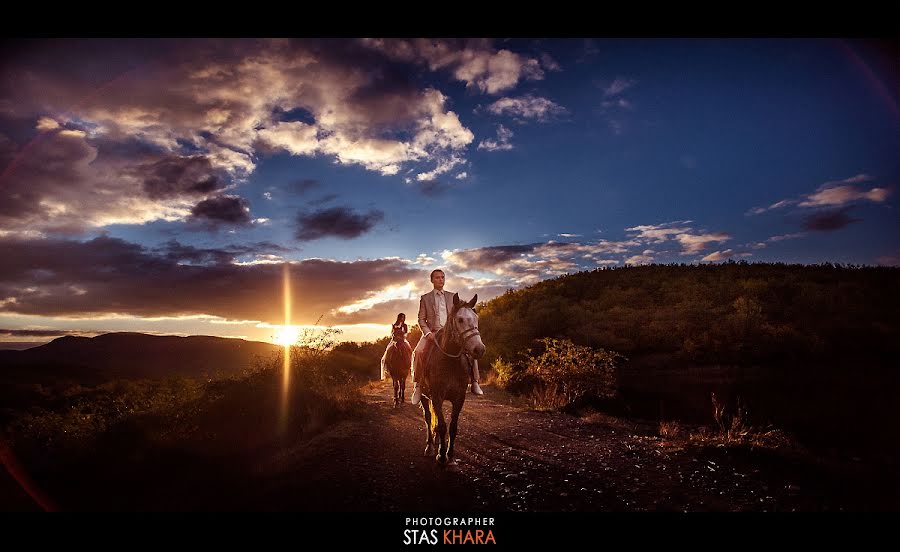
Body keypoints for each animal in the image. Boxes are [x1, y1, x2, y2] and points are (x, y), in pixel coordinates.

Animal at [420, 296, 486, 464]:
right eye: (460, 320)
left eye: (476, 318)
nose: (479, 349)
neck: (449, 362)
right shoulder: (436, 397)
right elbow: (442, 425)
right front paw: (441, 455)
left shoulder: (459, 398)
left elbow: (453, 427)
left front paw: (450, 454)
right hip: (424, 396)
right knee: (428, 419)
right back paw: (430, 446)